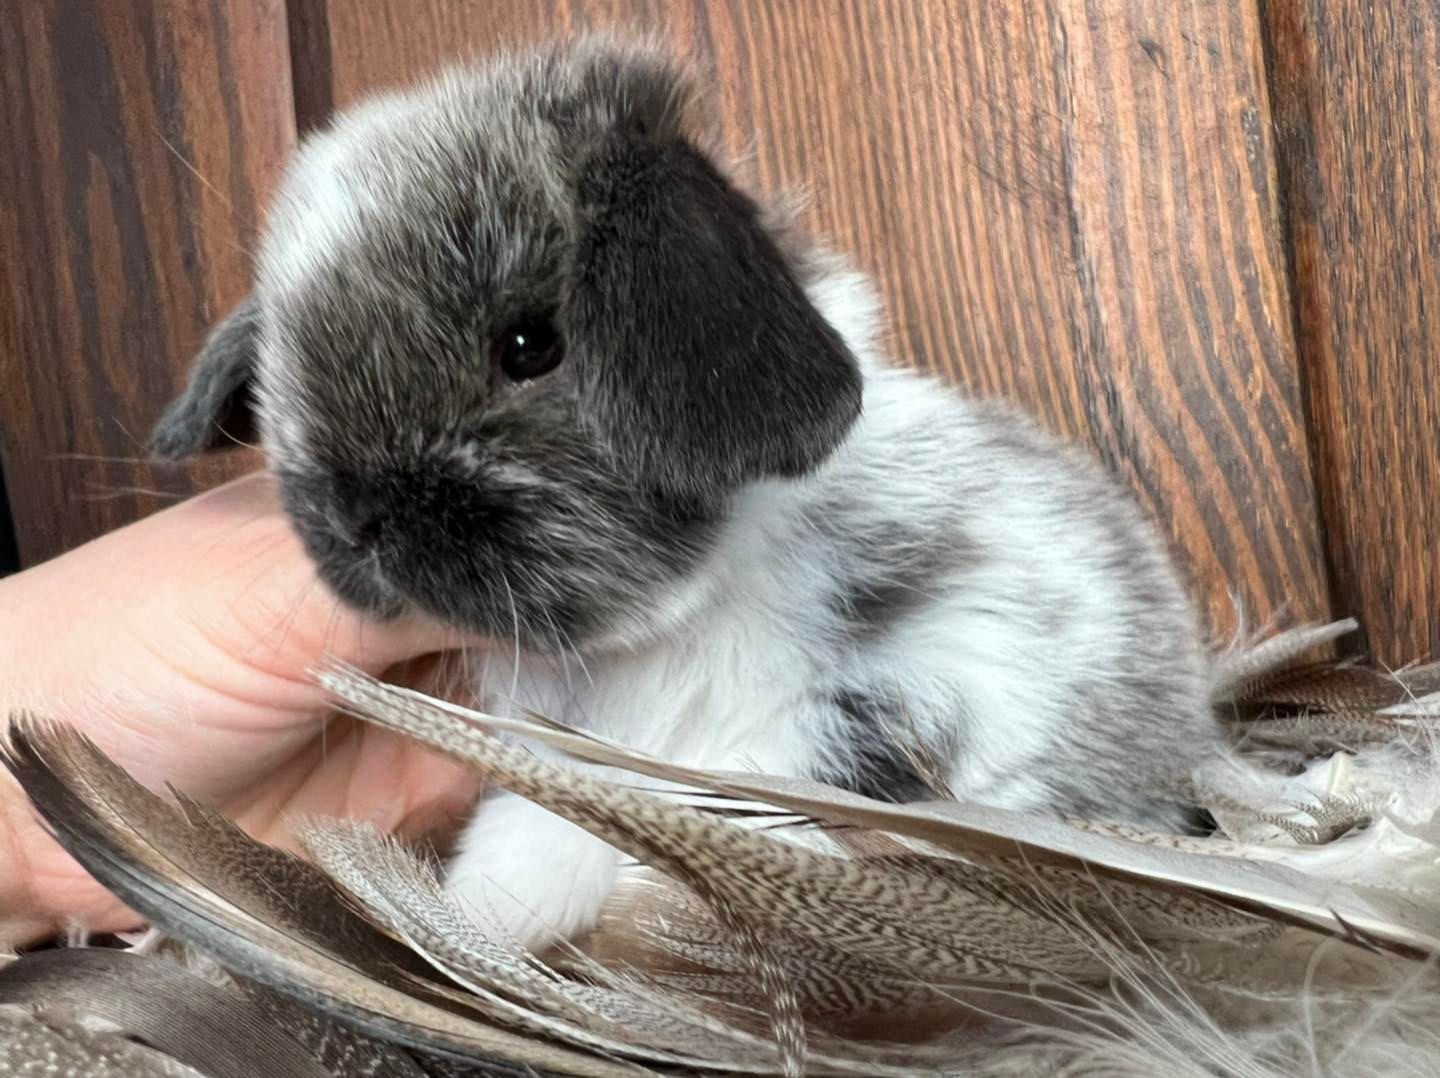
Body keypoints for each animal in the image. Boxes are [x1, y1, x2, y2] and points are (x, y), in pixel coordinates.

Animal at [154, 35, 1215, 944]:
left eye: (529, 344)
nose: (356, 519)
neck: (676, 623)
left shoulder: (938, 677)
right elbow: (539, 839)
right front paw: (473, 925)